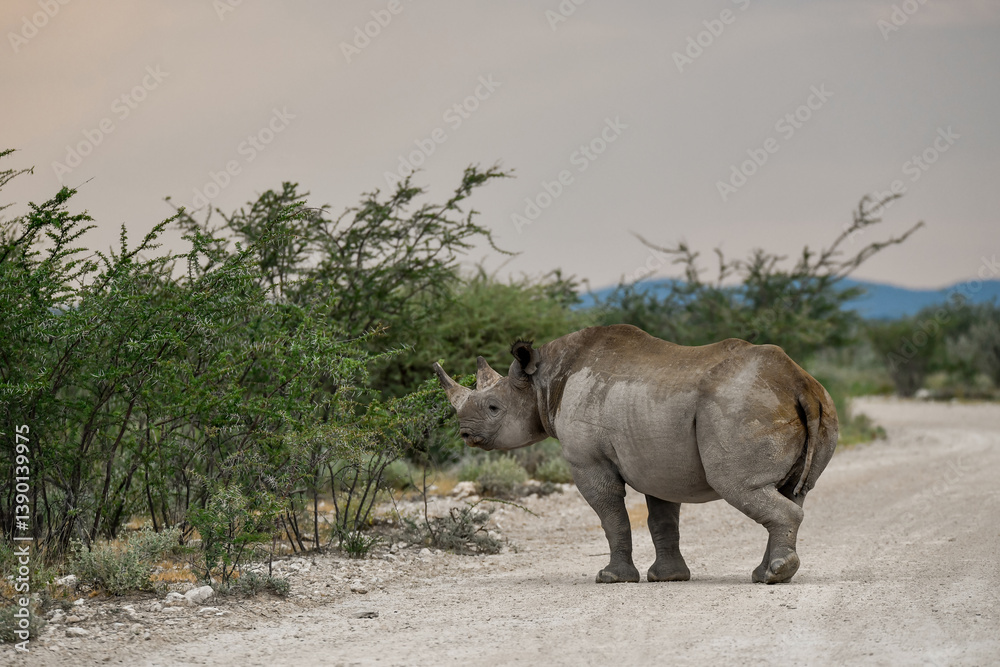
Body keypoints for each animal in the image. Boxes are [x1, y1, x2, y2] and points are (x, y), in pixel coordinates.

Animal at [432, 324, 838, 584]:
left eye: (493, 408)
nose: (464, 433)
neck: (543, 381)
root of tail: (799, 381)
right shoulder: (658, 458)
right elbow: (662, 520)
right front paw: (668, 578)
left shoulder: (588, 461)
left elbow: (612, 516)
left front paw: (610, 578)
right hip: (809, 401)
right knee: (792, 492)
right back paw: (764, 574)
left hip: (743, 406)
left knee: (741, 487)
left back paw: (774, 575)